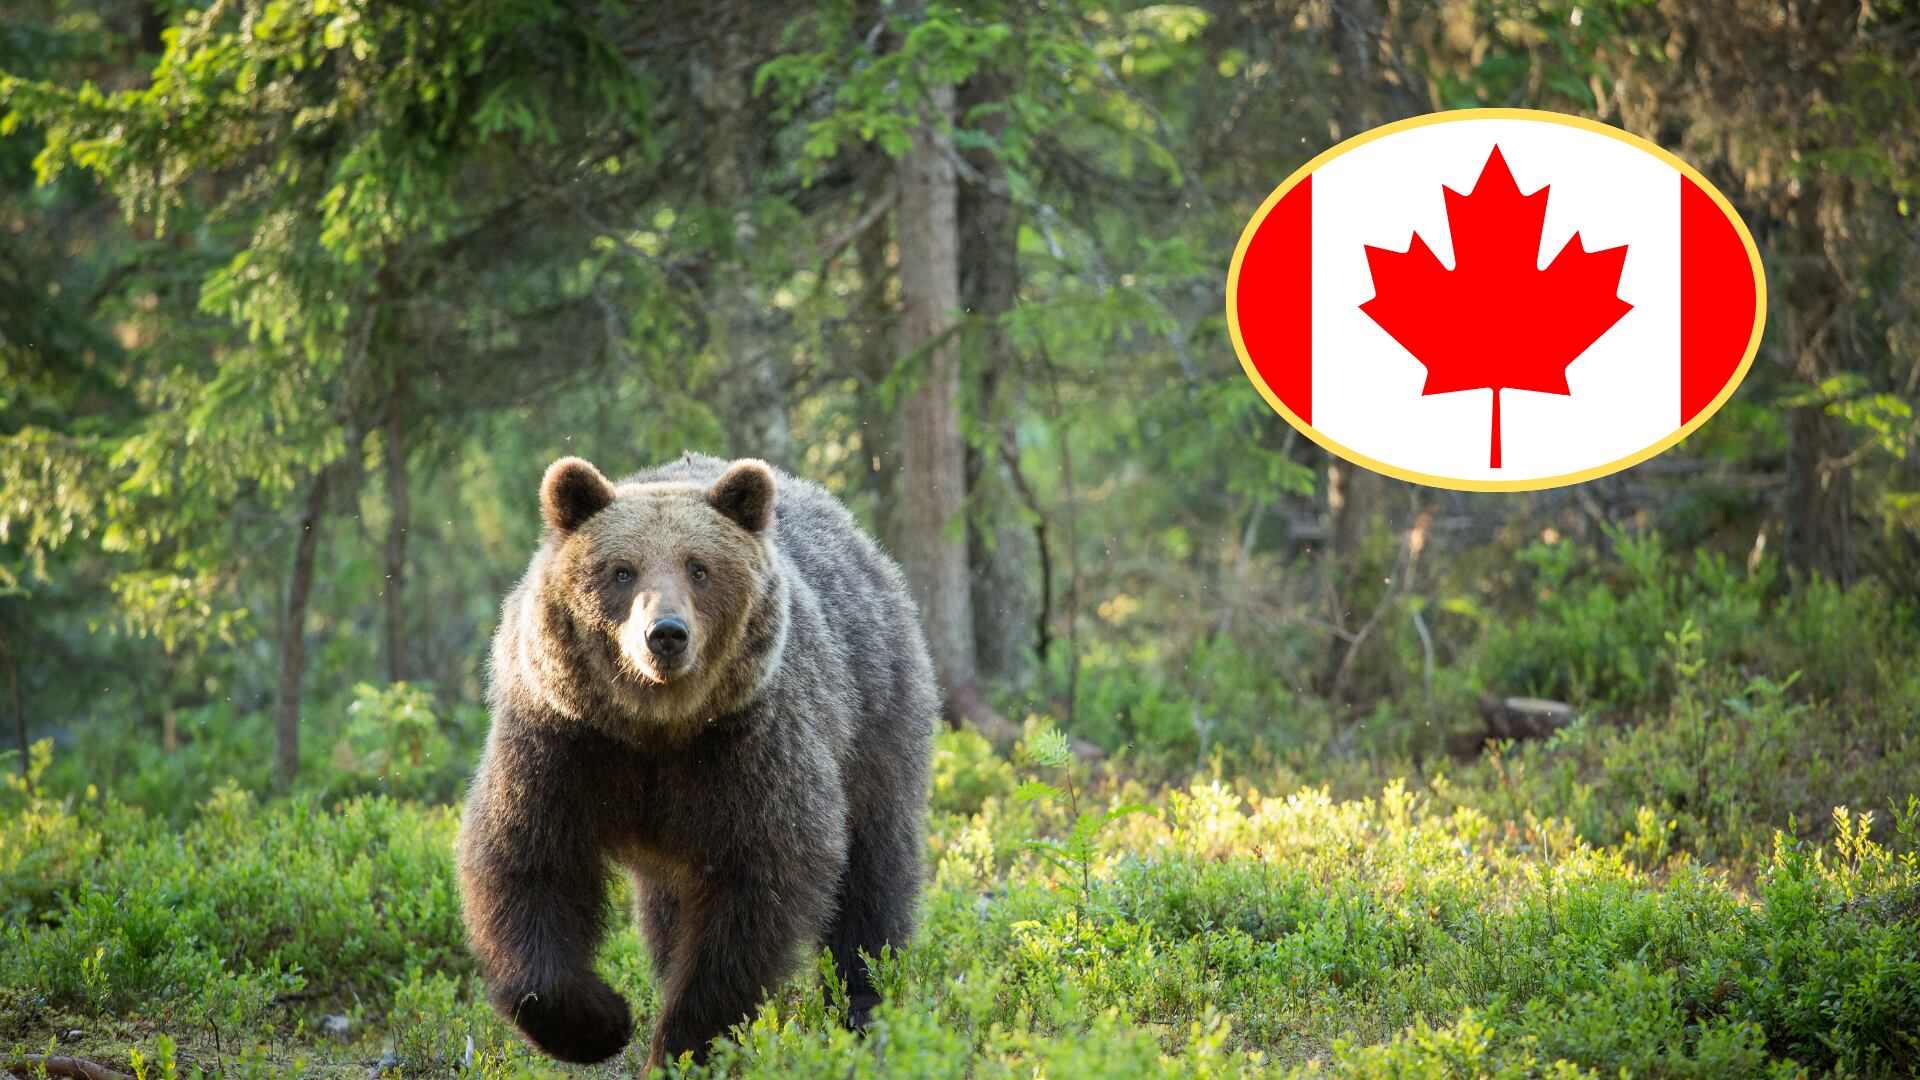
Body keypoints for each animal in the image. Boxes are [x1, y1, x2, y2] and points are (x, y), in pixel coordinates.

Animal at [456, 452, 937, 1069]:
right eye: (622, 570)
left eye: (699, 568)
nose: (665, 634)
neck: (657, 727)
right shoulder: (563, 742)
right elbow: (527, 864)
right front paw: (602, 1021)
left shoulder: (748, 747)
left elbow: (755, 892)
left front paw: (683, 1044)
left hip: (873, 717)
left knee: (873, 871)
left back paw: (864, 1004)